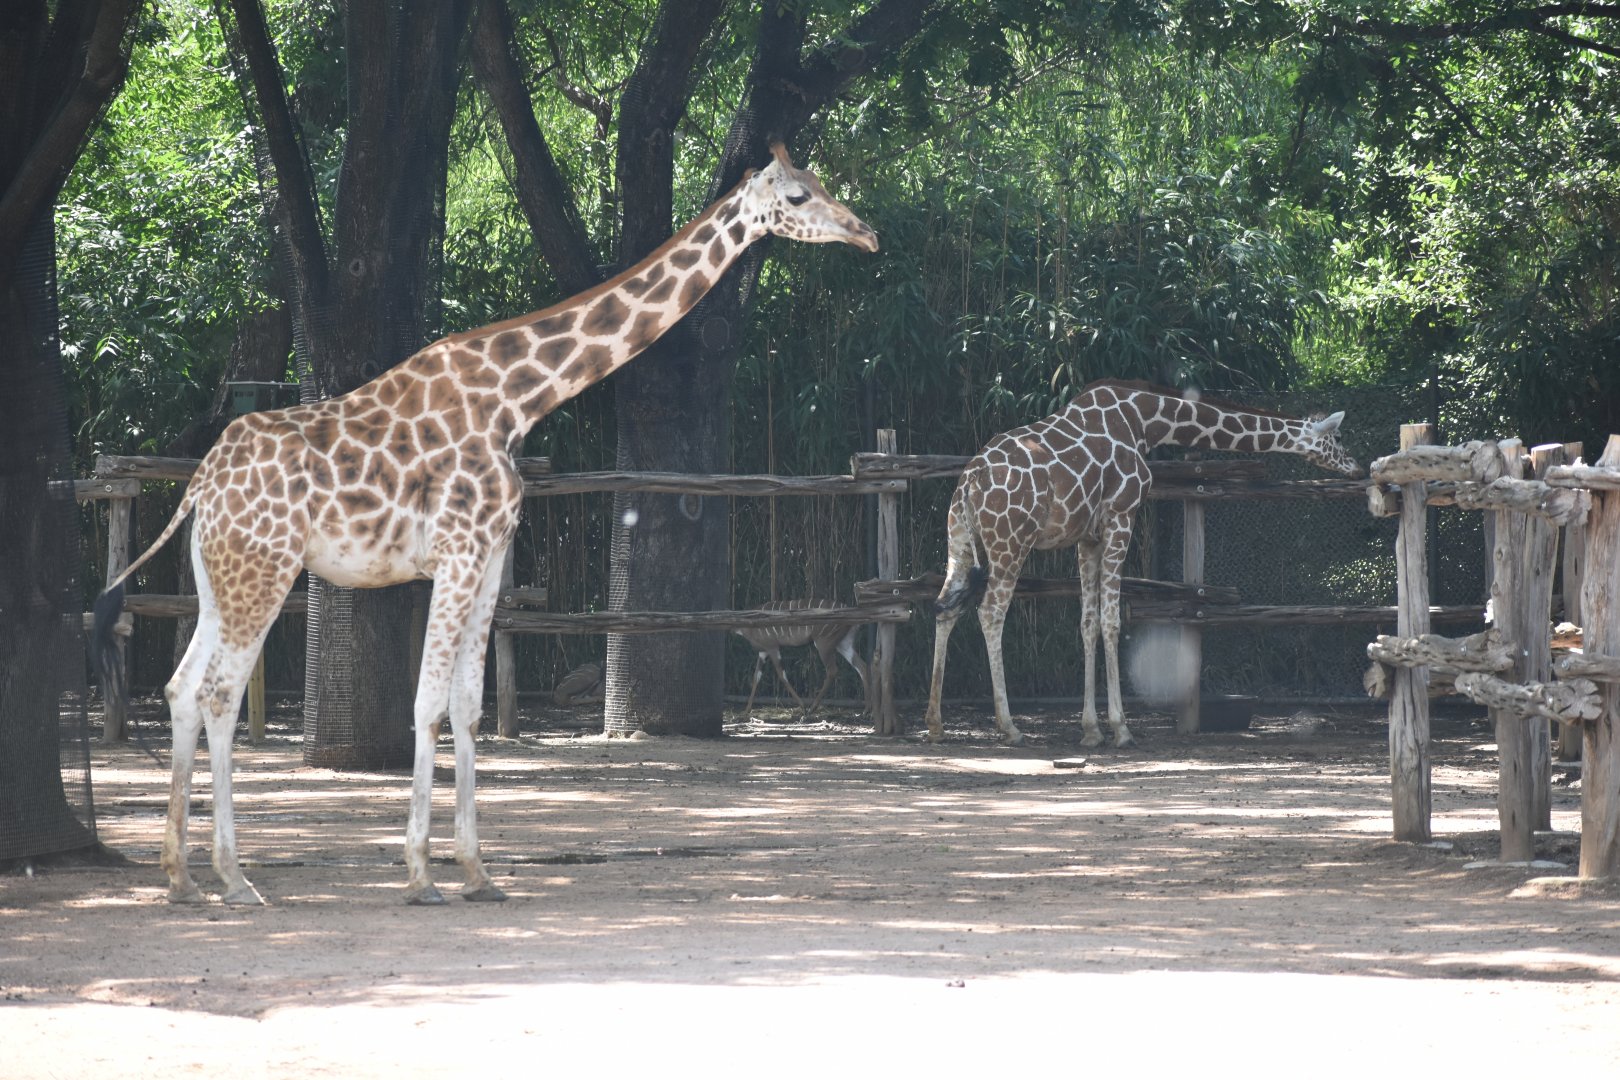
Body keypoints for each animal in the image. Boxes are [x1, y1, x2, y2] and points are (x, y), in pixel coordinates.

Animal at [91, 143, 877, 906]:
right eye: (799, 194)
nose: (865, 232)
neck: (516, 400)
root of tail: (201, 482)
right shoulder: (458, 552)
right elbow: (427, 703)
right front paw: (420, 876)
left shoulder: (494, 554)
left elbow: (469, 707)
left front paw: (477, 872)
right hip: (265, 570)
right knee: (219, 693)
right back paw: (235, 878)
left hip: (220, 575)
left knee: (181, 688)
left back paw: (181, 877)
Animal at [922, 380, 1363, 748]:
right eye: (1338, 437)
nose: (1357, 466)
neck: (1147, 421)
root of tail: (969, 482)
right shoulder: (1122, 516)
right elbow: (1112, 620)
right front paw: (1120, 729)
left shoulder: (1088, 536)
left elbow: (1087, 622)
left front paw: (1091, 731)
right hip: (1010, 542)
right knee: (990, 612)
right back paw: (1009, 727)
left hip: (959, 541)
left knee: (944, 608)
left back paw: (936, 724)